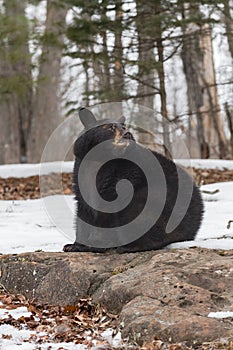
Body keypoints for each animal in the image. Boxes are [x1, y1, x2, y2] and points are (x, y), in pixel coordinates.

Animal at [62, 108, 203, 253]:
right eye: (111, 127)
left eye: (124, 126)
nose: (127, 133)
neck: (101, 158)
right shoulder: (81, 176)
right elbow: (84, 212)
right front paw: (74, 245)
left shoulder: (122, 178)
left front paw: (95, 244)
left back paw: (127, 246)